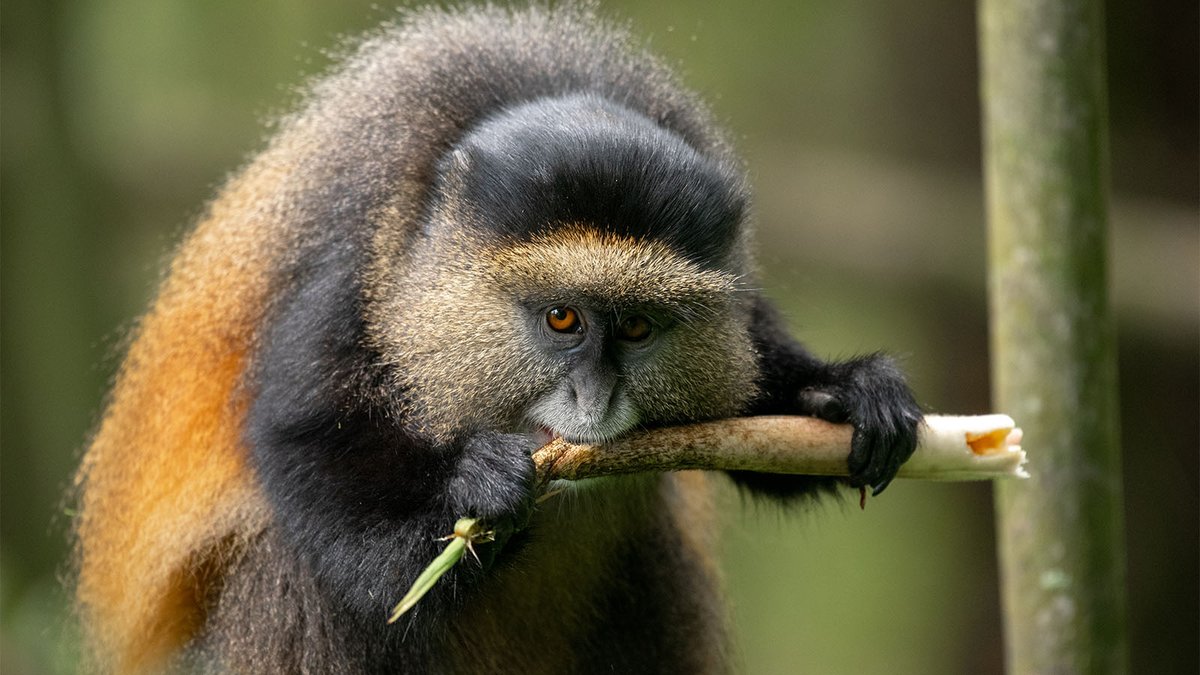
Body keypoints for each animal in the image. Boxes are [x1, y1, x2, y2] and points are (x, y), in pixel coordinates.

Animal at [71, 5, 921, 674]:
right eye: (562, 320)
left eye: (637, 326)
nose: (594, 399)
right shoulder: (349, 267)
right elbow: (306, 444)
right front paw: (475, 490)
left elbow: (759, 427)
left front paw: (850, 391)